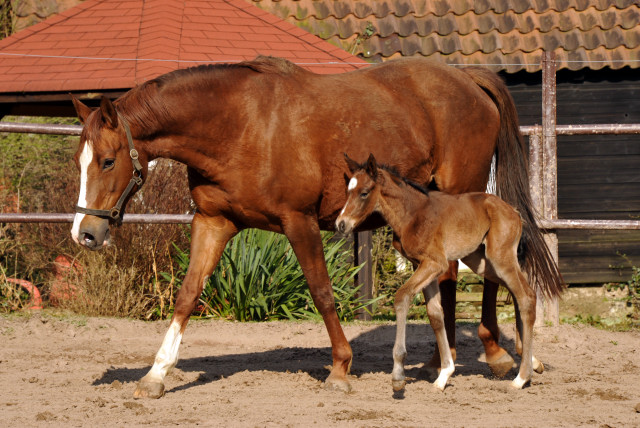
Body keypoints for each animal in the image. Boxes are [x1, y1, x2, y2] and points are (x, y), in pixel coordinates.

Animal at [338, 155, 544, 392]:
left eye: (364, 192)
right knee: (523, 293)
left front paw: (398, 375)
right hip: (483, 263)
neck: (412, 215)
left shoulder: (435, 263)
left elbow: (402, 297)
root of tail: (515, 212)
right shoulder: (424, 265)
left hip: (501, 259)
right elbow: (436, 314)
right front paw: (444, 374)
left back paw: (522, 377)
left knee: (525, 296)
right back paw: (533, 363)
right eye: (347, 191)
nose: (341, 224)